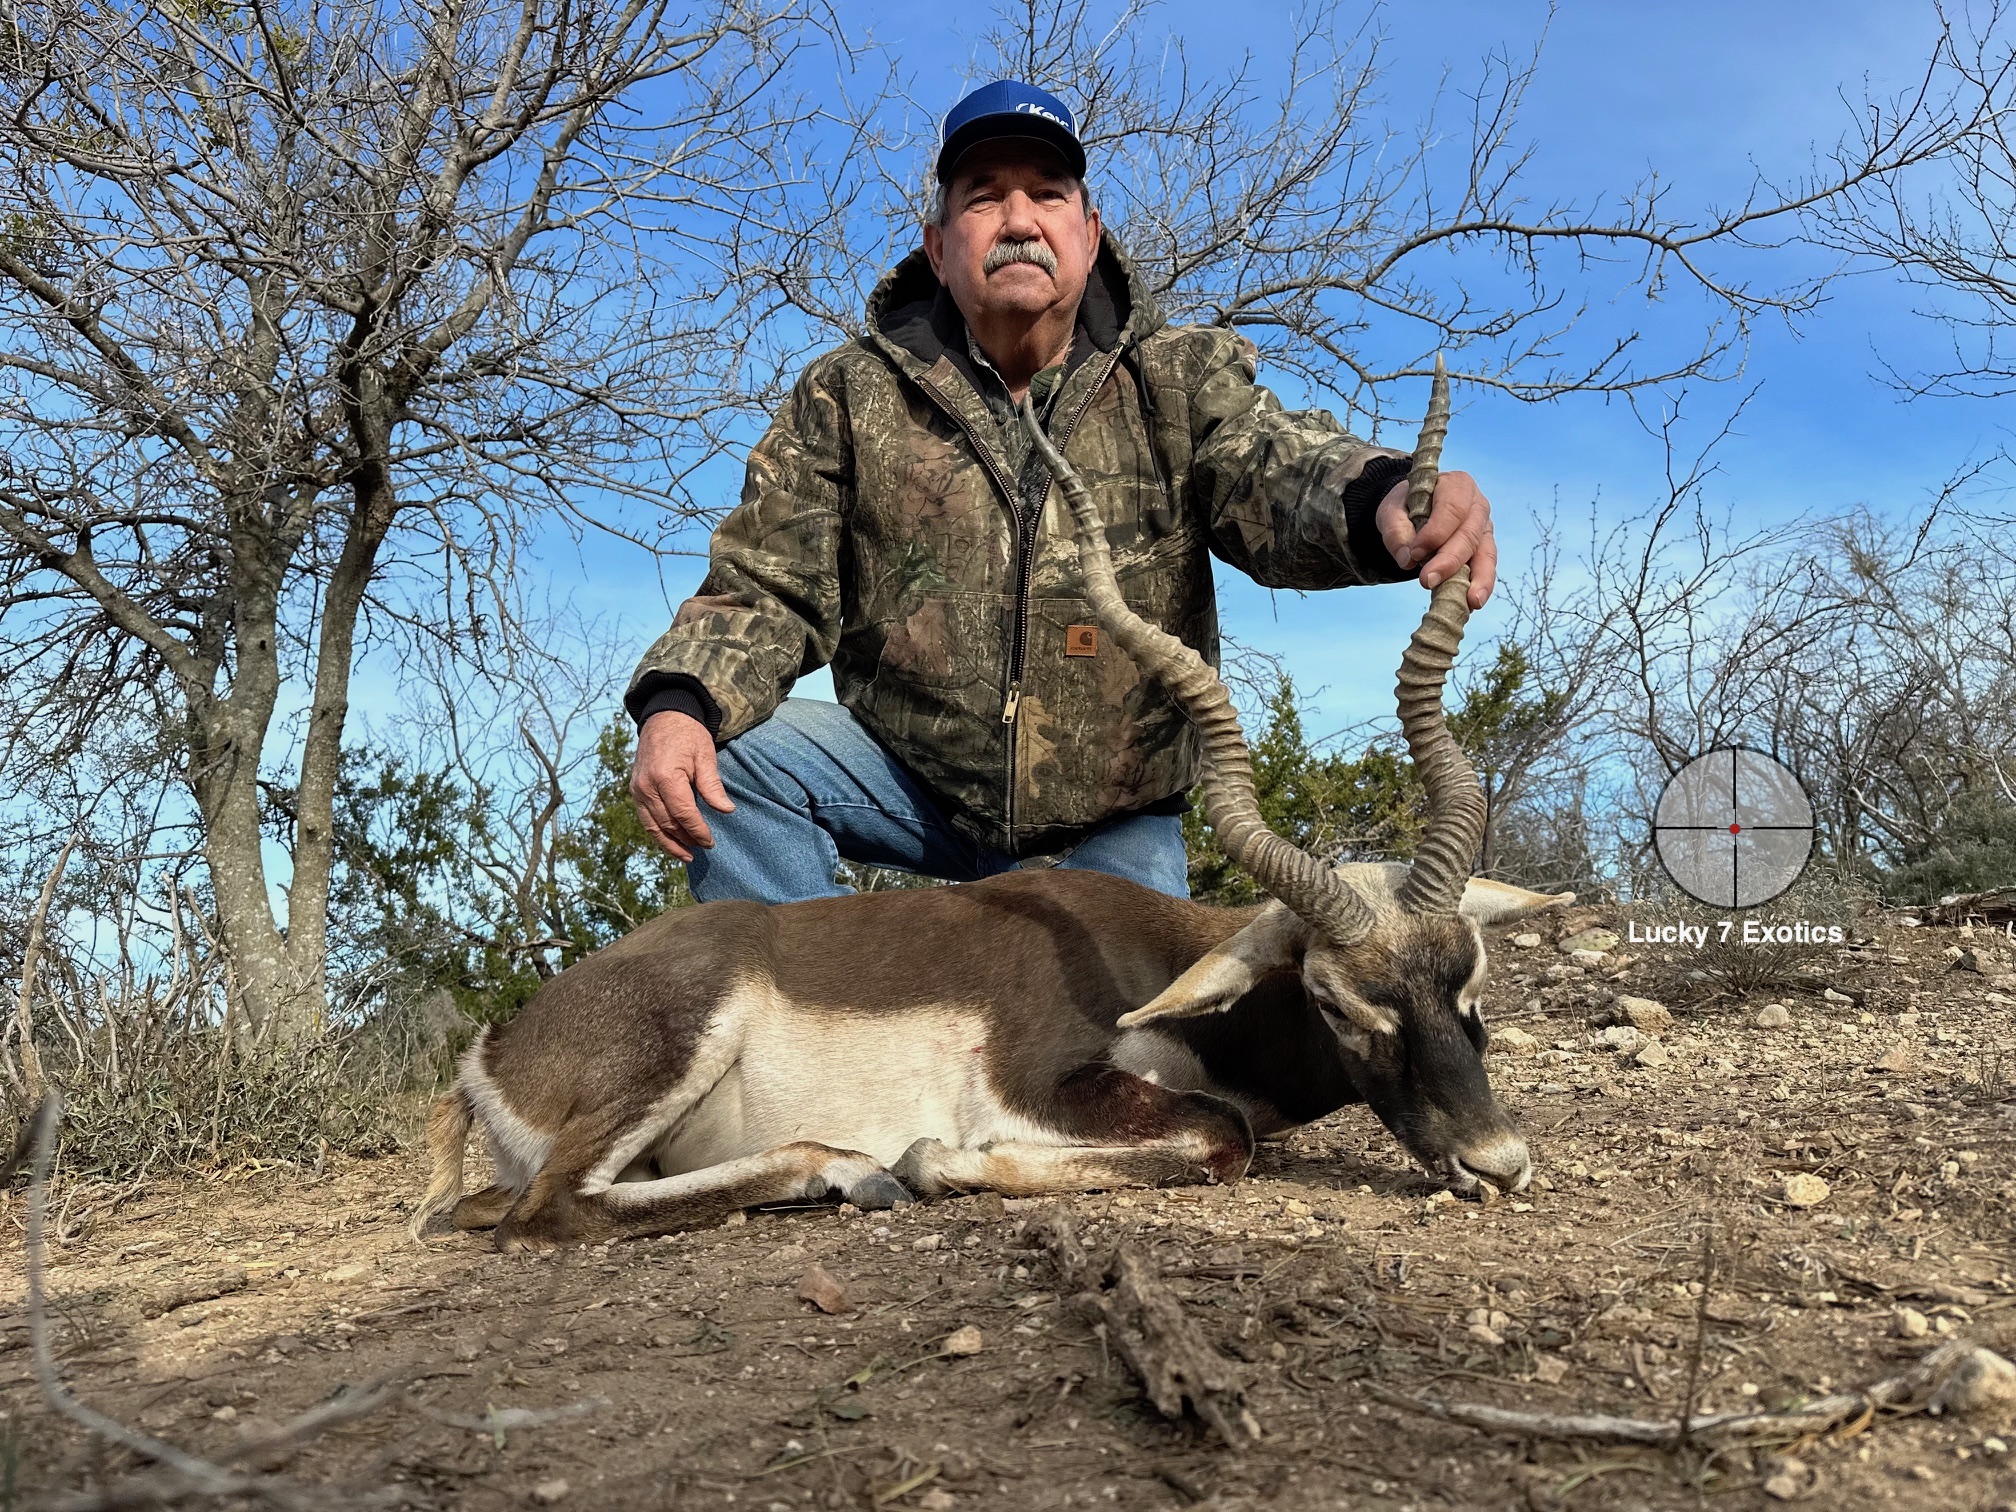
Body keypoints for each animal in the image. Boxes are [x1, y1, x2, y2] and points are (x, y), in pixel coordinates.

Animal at [417, 360, 1564, 1249]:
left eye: (1472, 979)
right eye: (1336, 1002)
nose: (1498, 1162)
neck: (1160, 975)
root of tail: (493, 1051)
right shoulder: (1045, 1086)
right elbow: (1219, 1137)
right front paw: (938, 1161)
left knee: (493, 1206)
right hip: (674, 1047)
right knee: (550, 1210)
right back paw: (852, 1169)